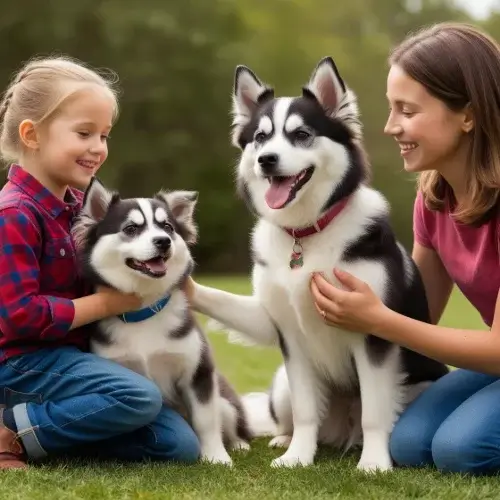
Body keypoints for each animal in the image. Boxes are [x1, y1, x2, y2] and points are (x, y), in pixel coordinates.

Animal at [72, 179, 252, 464]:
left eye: (167, 227)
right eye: (131, 228)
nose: (163, 241)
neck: (145, 311)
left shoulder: (197, 371)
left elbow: (206, 420)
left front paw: (216, 457)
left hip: (225, 401)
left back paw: (238, 444)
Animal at [190, 58, 450, 472]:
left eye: (301, 134)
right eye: (260, 138)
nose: (266, 160)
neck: (307, 232)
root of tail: (343, 432)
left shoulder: (373, 334)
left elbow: (375, 413)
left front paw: (374, 464)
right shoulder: (288, 335)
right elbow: (306, 411)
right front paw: (298, 456)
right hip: (282, 384)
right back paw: (285, 438)